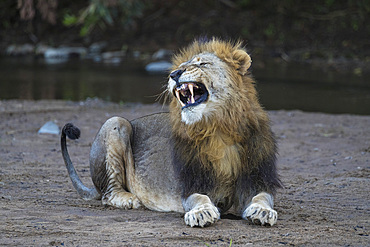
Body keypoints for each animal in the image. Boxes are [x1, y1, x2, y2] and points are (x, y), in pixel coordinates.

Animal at [60, 37, 282, 227]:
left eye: (203, 64)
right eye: (181, 66)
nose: (174, 74)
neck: (219, 129)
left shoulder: (257, 178)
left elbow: (263, 197)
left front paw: (263, 211)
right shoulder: (191, 182)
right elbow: (199, 198)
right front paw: (201, 213)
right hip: (115, 122)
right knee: (108, 193)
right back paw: (129, 199)